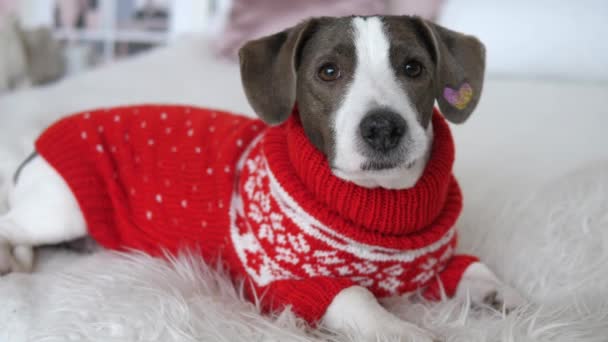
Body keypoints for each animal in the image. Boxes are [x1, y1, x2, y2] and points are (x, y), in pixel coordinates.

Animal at [0, 16, 524, 342]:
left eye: (413, 67)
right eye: (328, 71)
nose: (382, 127)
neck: (380, 202)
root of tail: (37, 149)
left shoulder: (436, 264)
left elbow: (474, 270)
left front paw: (509, 297)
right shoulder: (285, 285)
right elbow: (356, 296)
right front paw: (402, 330)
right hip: (60, 210)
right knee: (10, 224)